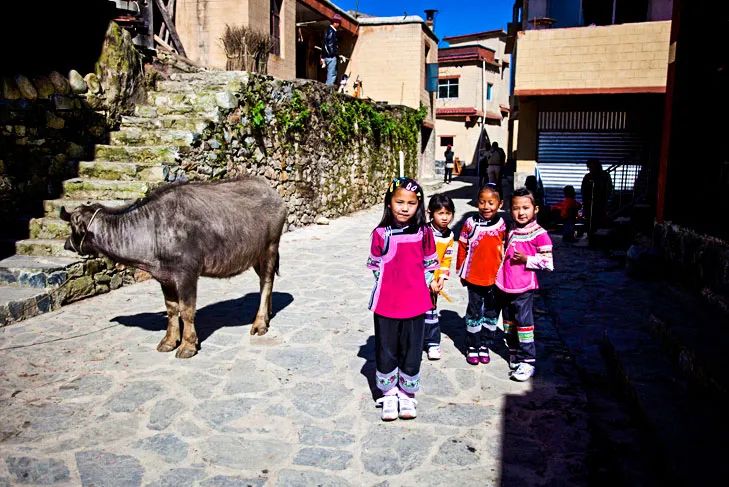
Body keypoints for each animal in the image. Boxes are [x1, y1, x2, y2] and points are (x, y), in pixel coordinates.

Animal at [59, 176, 288, 358]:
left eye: (72, 226)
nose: (66, 244)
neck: (152, 231)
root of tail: (272, 193)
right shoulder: (164, 278)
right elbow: (171, 309)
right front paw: (169, 341)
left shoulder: (187, 275)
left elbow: (186, 310)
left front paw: (188, 345)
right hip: (256, 256)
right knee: (264, 284)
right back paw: (267, 314)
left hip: (270, 248)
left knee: (267, 282)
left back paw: (259, 323)